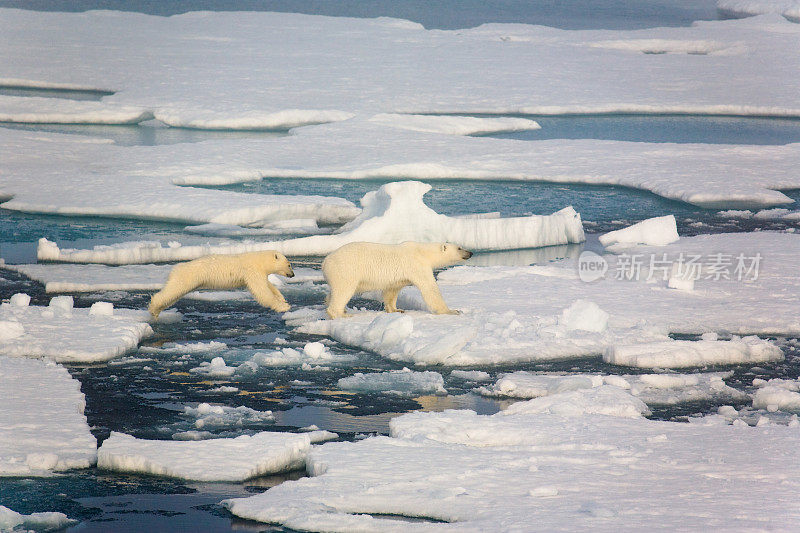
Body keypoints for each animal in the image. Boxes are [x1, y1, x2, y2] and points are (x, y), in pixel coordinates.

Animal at [148, 248, 296, 318]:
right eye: (289, 264)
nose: (293, 274)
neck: (259, 261)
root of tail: (176, 268)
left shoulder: (257, 273)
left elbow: (268, 286)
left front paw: (282, 298)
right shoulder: (251, 271)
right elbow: (262, 291)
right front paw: (284, 307)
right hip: (188, 276)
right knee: (173, 290)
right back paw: (154, 309)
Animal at [322, 242, 472, 320]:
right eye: (459, 247)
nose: (470, 253)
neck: (423, 252)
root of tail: (325, 261)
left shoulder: (398, 277)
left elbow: (392, 290)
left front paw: (396, 309)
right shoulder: (417, 265)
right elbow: (430, 288)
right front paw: (452, 311)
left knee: (335, 291)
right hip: (346, 270)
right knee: (343, 290)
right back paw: (342, 314)